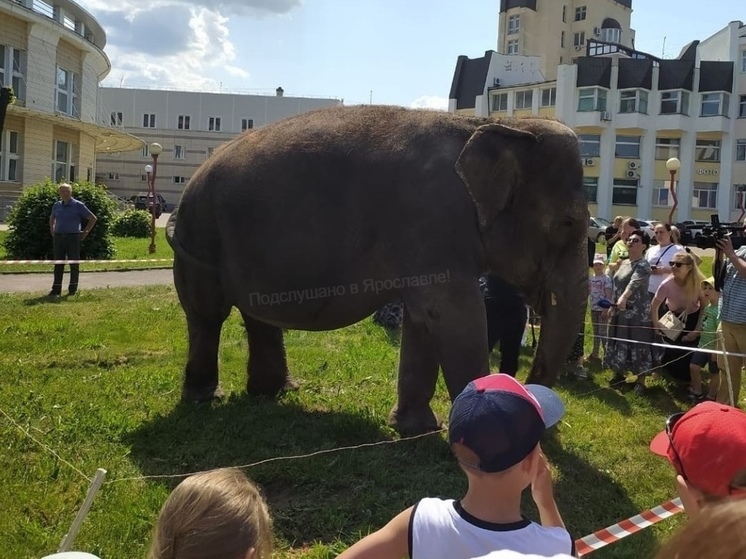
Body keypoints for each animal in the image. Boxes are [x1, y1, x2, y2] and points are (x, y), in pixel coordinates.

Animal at [167, 105, 588, 438]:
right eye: (567, 223)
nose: (541, 413)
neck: (492, 124)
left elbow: (424, 319)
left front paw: (415, 429)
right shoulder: (431, 219)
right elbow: (458, 315)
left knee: (256, 315)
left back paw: (275, 392)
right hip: (201, 237)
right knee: (208, 315)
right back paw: (207, 399)